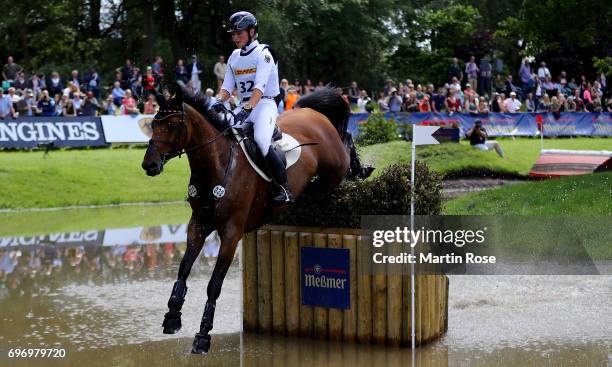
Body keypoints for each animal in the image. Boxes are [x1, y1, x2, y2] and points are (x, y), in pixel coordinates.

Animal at [140, 85, 368, 356]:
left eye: (173, 125)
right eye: (154, 124)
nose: (149, 164)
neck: (217, 165)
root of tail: (311, 112)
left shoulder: (231, 233)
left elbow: (214, 284)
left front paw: (203, 336)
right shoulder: (197, 225)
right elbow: (183, 270)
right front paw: (172, 317)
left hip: (335, 166)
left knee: (347, 145)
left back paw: (361, 167)